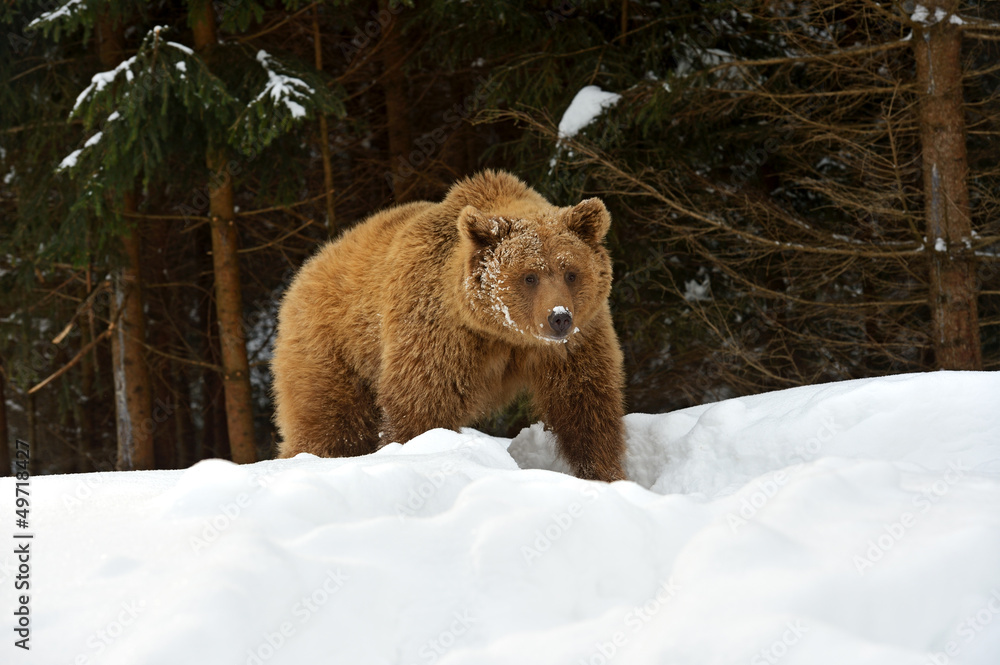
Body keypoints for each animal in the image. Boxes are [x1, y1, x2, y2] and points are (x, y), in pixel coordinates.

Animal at [271, 169, 626, 482]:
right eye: (530, 276)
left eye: (571, 273)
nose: (559, 317)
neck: (504, 334)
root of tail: (308, 267)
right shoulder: (440, 334)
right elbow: (422, 406)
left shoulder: (576, 342)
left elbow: (586, 405)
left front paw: (606, 475)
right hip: (332, 348)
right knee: (330, 423)